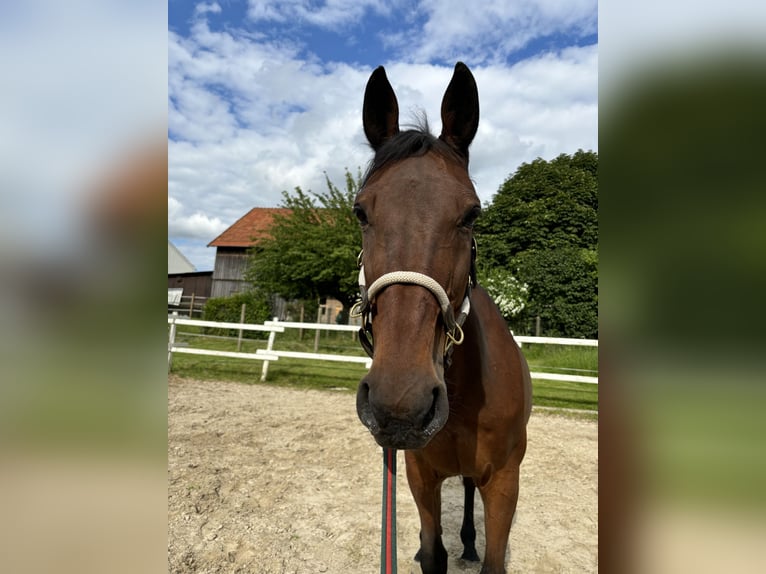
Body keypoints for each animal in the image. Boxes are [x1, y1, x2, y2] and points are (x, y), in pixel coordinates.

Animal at [354, 63, 536, 574]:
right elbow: (433, 552)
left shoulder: (505, 481)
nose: (399, 404)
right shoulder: (419, 473)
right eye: (360, 212)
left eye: (471, 213)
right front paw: (424, 547)